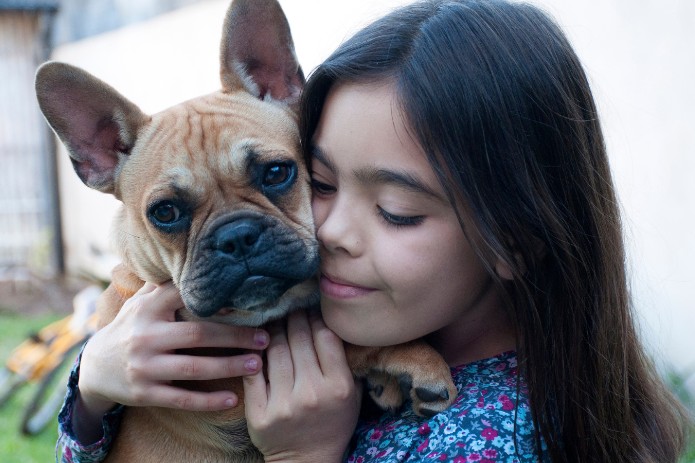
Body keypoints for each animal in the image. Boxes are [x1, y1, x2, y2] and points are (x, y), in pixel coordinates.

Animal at [35, 1, 456, 462]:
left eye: (276, 172)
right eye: (165, 212)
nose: (235, 238)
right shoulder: (221, 366)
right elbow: (337, 335)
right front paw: (417, 358)